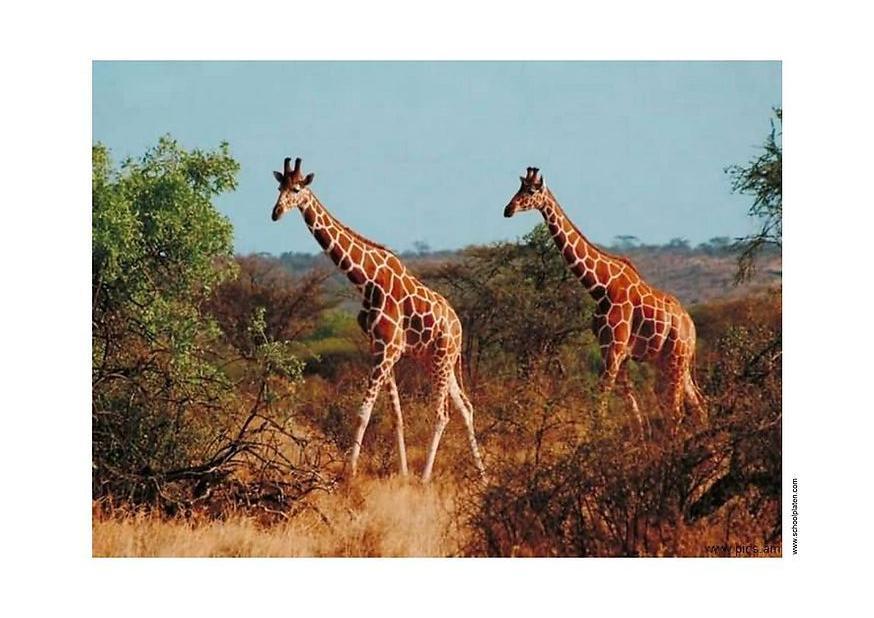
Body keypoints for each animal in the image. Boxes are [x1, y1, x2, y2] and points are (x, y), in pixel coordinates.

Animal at [271, 157, 486, 482]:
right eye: (279, 187)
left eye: (296, 189)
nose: (275, 213)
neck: (366, 279)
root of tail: (458, 326)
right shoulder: (382, 348)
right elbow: (396, 415)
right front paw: (403, 472)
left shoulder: (387, 350)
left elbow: (364, 412)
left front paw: (350, 473)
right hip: (438, 361)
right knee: (466, 407)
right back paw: (482, 475)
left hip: (442, 358)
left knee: (442, 414)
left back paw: (426, 479)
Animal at [502, 167, 707, 433]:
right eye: (519, 187)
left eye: (531, 191)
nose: (508, 209)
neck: (601, 287)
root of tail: (691, 327)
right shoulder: (611, 350)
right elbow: (630, 404)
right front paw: (637, 438)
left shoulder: (615, 349)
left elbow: (601, 398)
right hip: (671, 361)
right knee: (697, 404)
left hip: (676, 360)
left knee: (677, 409)